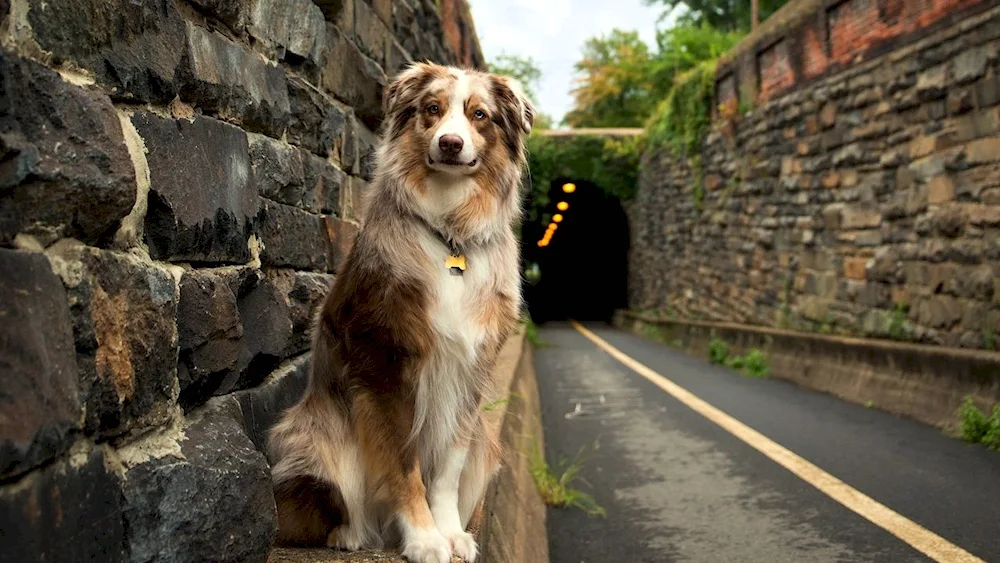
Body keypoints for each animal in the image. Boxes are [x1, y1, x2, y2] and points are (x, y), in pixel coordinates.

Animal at [264, 61, 532, 563]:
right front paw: (424, 538)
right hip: (313, 435)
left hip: (488, 443)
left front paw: (449, 532)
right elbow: (402, 464)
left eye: (479, 115)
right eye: (432, 109)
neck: (450, 231)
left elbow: (446, 468)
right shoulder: (385, 363)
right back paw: (350, 534)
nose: (450, 143)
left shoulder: (469, 372)